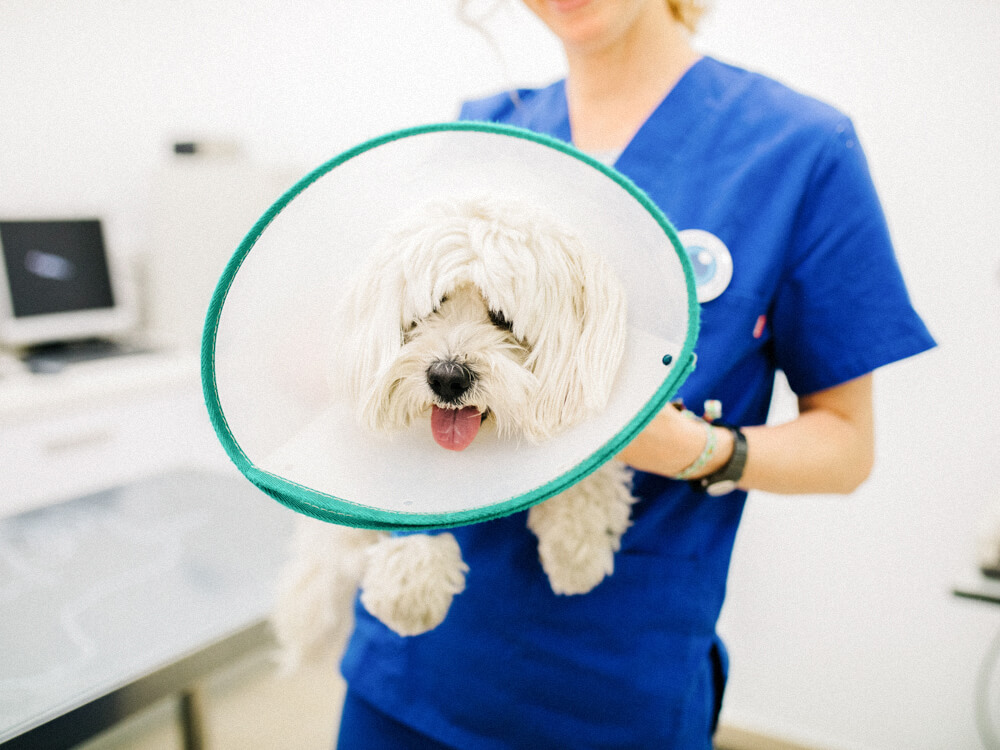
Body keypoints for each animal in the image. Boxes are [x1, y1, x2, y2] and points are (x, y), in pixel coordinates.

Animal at [272, 201, 632, 668]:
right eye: (428, 309)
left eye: (503, 317)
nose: (446, 378)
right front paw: (409, 591)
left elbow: (586, 467)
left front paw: (579, 549)